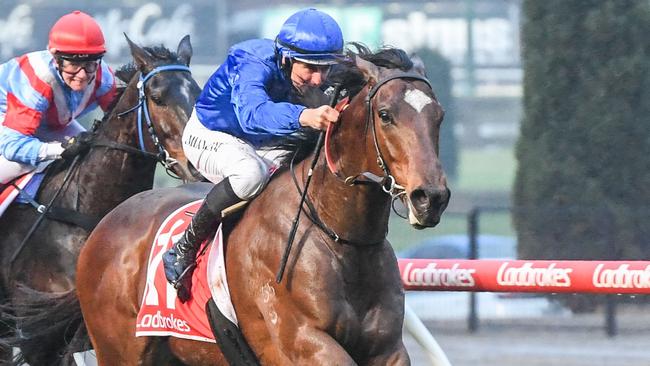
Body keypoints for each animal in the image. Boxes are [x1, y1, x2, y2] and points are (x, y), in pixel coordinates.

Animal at [31, 44, 450, 364]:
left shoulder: (387, 350)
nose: (431, 198)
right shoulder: (302, 343)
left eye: (439, 116)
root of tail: (104, 224)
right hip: (120, 349)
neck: (339, 236)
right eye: (386, 115)